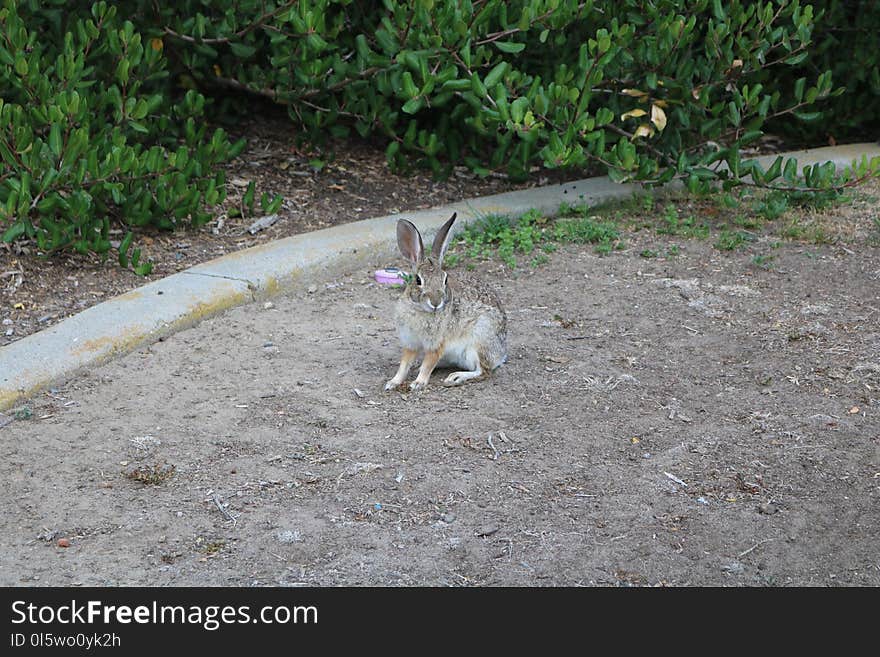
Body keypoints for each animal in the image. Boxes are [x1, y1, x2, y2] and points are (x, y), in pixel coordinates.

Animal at [384, 213, 508, 392]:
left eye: (445, 279)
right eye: (418, 280)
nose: (436, 302)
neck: (422, 310)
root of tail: (501, 354)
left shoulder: (437, 344)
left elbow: (428, 364)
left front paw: (418, 383)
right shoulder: (410, 342)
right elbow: (404, 364)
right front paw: (393, 382)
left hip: (479, 341)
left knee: (483, 371)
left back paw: (456, 377)